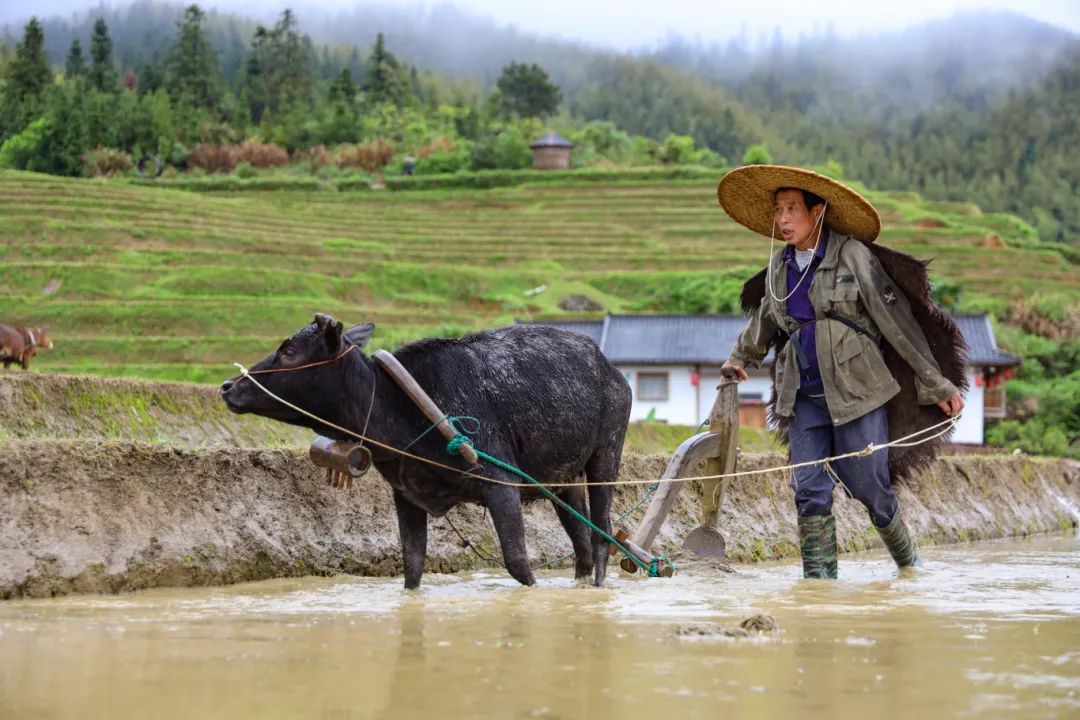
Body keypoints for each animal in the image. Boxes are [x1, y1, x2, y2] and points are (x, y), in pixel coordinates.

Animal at [220, 315, 630, 591]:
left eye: (289, 350)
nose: (228, 387)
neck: (404, 409)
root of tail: (611, 370)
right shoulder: (406, 496)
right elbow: (413, 567)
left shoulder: (501, 486)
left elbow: (517, 563)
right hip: (564, 481)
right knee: (581, 539)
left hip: (606, 456)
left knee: (601, 535)